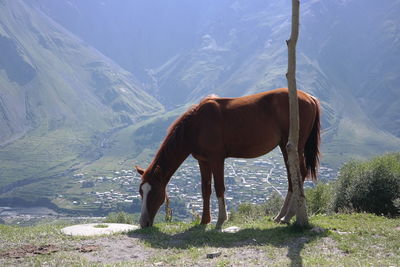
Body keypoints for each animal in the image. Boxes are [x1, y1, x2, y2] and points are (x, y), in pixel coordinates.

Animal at [136, 88, 320, 228]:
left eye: (154, 193)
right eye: (140, 192)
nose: (143, 223)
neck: (196, 125)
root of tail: (309, 97)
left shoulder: (216, 159)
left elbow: (219, 187)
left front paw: (221, 220)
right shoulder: (203, 161)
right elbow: (205, 189)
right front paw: (204, 221)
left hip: (294, 146)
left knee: (298, 173)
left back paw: (288, 215)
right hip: (285, 146)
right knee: (292, 177)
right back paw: (282, 215)